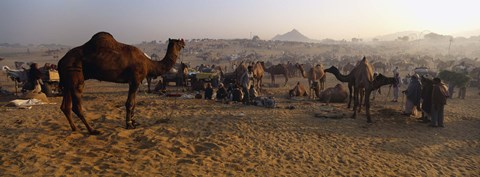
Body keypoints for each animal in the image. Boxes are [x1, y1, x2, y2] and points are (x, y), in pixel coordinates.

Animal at [56, 31, 184, 134]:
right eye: (178, 41)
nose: (184, 42)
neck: (149, 63)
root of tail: (61, 60)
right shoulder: (135, 80)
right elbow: (129, 103)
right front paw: (129, 124)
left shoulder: (134, 81)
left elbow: (134, 103)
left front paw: (134, 122)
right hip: (75, 75)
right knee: (76, 106)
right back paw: (92, 130)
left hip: (67, 81)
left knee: (65, 106)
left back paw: (75, 128)